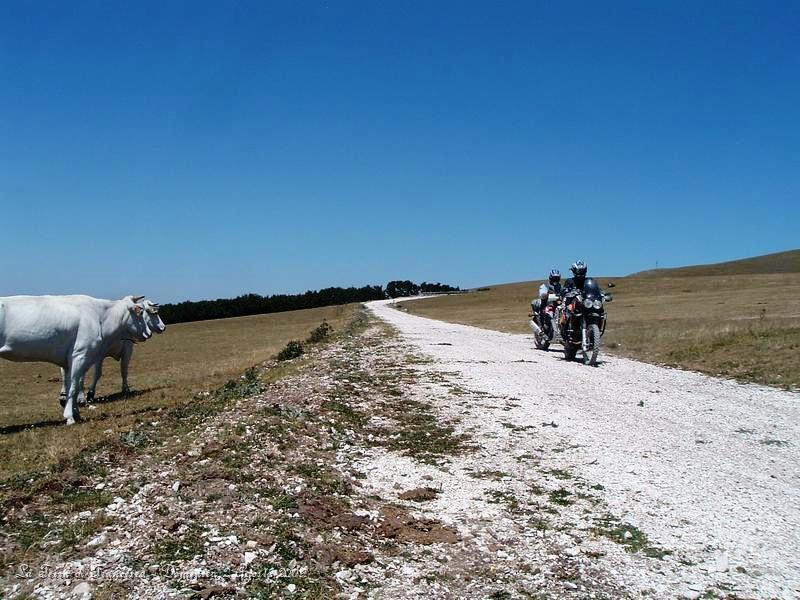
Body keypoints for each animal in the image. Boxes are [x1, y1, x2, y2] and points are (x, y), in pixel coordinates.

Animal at [0, 294, 153, 424]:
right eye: (140, 311)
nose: (149, 333)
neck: (100, 317)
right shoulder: (80, 355)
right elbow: (74, 387)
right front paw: (69, 417)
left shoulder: (69, 362)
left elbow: (71, 387)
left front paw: (76, 413)